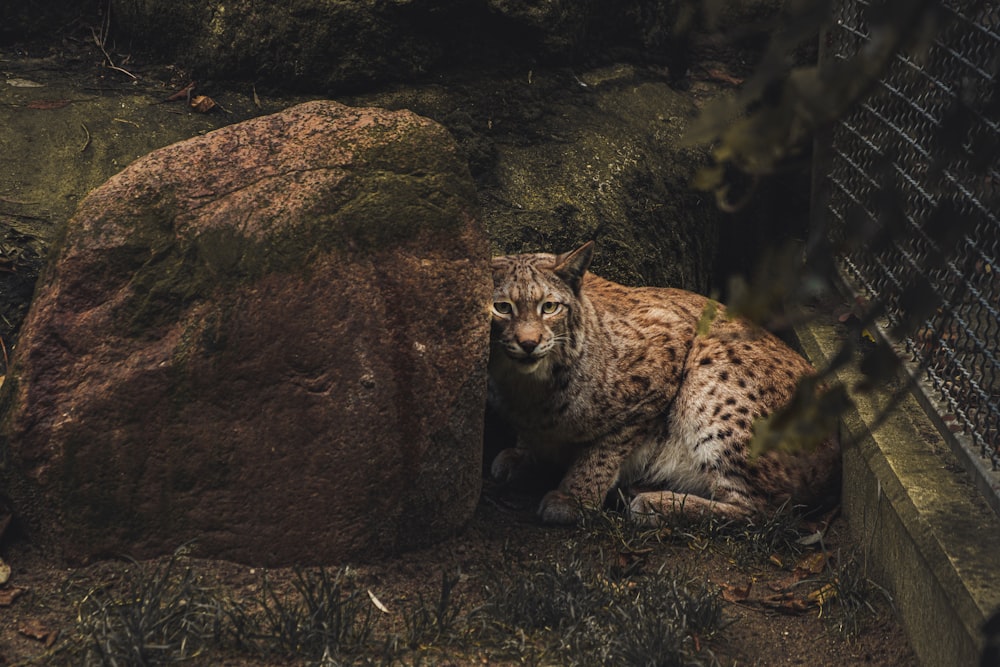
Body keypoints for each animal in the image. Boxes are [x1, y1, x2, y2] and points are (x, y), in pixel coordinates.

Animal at [484, 243, 836, 524]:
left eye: (549, 307)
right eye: (501, 308)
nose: (529, 344)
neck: (529, 383)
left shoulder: (666, 353)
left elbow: (607, 447)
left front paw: (575, 497)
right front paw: (523, 454)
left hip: (710, 365)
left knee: (768, 511)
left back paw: (655, 503)